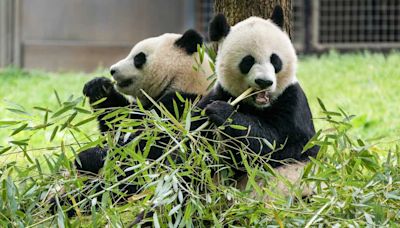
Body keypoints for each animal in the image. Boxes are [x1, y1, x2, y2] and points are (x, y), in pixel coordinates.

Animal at [194, 5, 318, 200]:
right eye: (248, 61)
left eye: (275, 59)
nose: (264, 82)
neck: (257, 106)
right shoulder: (221, 93)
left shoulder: (293, 101)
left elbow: (275, 144)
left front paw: (222, 112)